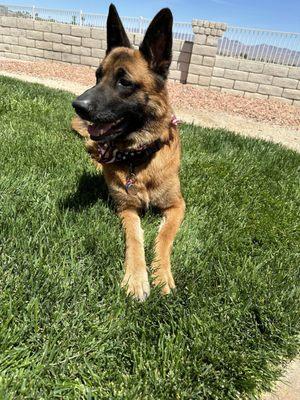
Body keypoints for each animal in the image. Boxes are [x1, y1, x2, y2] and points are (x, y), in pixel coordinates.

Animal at [72, 3, 185, 300]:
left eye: (124, 82)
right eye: (97, 76)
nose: (77, 105)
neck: (139, 157)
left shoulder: (177, 205)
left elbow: (164, 237)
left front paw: (161, 274)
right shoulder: (126, 208)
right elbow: (135, 237)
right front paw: (136, 278)